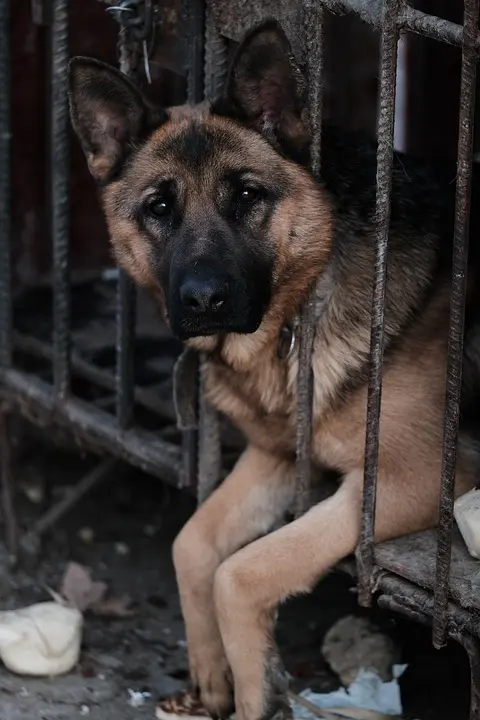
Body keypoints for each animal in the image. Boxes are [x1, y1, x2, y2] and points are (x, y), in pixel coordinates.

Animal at [69, 18, 480, 720]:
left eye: (246, 196)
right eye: (159, 208)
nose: (204, 301)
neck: (300, 311)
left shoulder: (410, 484)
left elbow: (242, 571)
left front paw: (257, 685)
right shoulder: (281, 457)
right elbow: (191, 544)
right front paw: (211, 673)